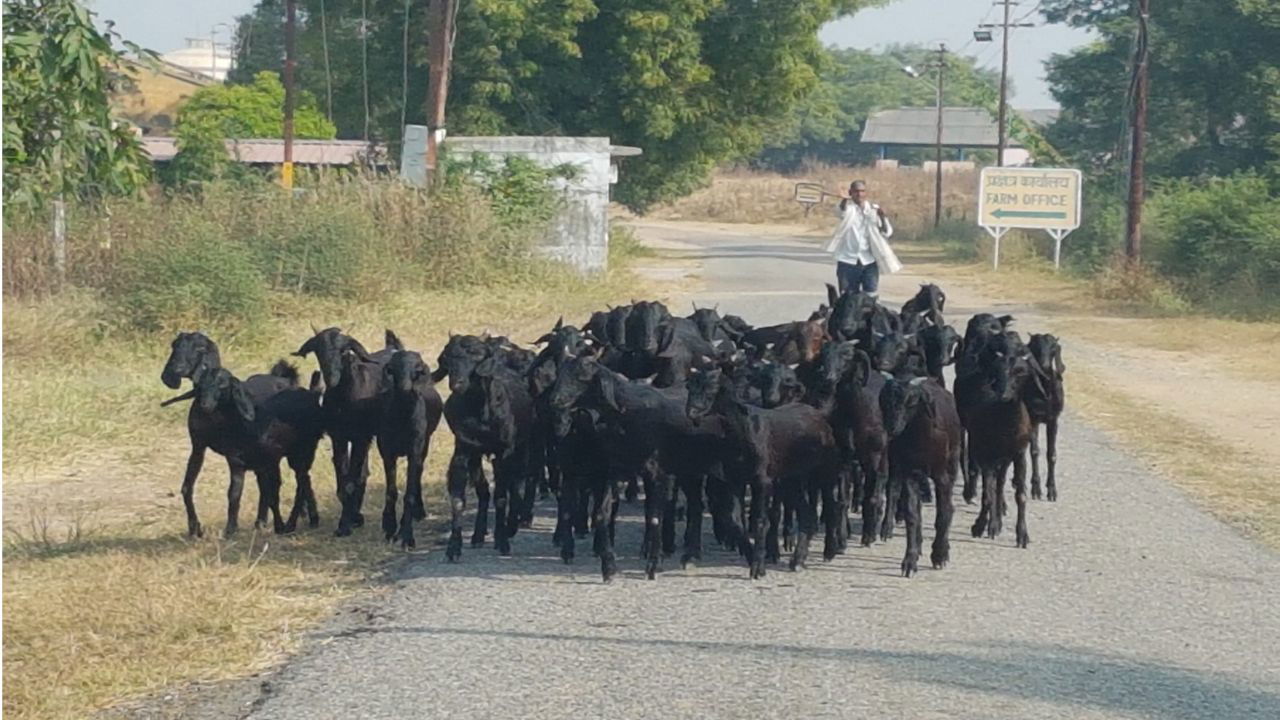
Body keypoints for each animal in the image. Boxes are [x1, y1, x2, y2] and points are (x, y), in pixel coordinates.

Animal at [880, 371, 962, 573]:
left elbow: (944, 513)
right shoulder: (910, 472)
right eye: (885, 400)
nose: (892, 427)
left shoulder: (942, 475)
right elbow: (912, 514)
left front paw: (939, 555)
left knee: (948, 508)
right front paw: (909, 560)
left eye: (910, 402)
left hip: (952, 463)